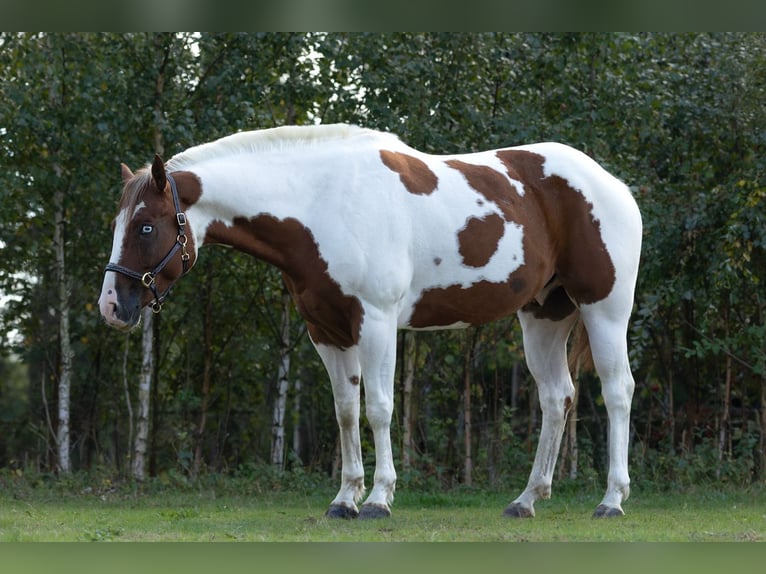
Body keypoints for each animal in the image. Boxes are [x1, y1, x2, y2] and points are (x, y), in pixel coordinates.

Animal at [99, 124, 642, 519]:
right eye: (119, 224)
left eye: (145, 226)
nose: (110, 306)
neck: (322, 203)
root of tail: (613, 185)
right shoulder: (327, 333)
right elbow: (345, 412)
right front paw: (344, 499)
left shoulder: (376, 323)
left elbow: (379, 408)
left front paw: (379, 499)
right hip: (544, 315)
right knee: (557, 398)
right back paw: (526, 500)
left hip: (605, 309)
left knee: (617, 392)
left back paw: (611, 500)